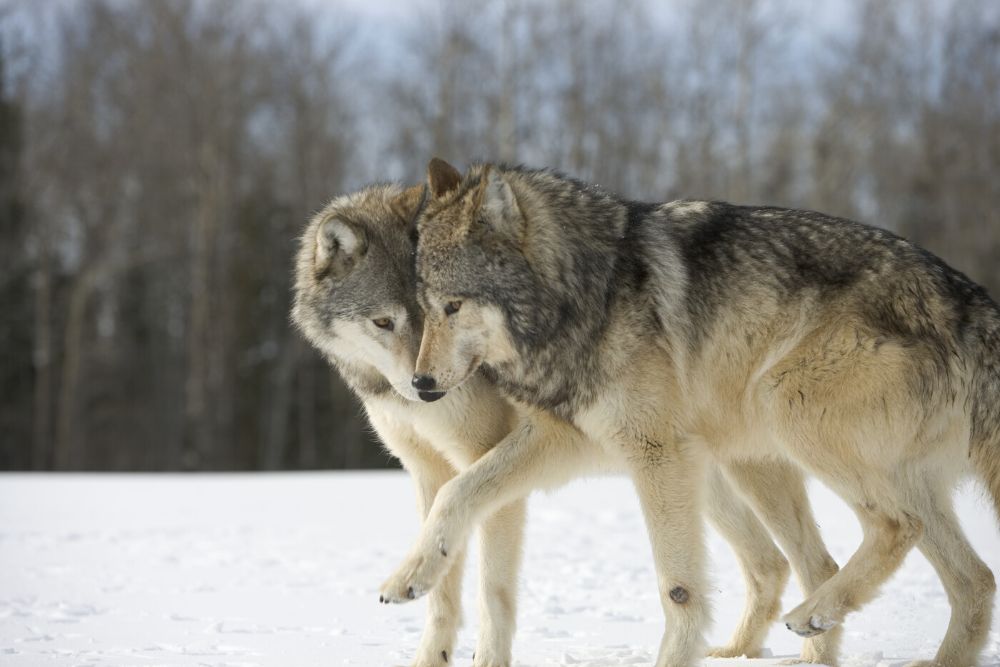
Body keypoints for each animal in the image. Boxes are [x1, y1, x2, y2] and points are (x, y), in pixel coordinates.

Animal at [292, 183, 841, 665]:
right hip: (700, 478)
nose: (425, 387)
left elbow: (490, 586)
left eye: (445, 313)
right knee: (771, 563)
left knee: (796, 562)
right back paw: (741, 652)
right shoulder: (429, 471)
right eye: (384, 322)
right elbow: (441, 588)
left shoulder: (498, 459)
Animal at [381, 158, 1000, 667]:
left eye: (454, 306)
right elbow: (456, 490)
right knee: (967, 578)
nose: (421, 385)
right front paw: (410, 575)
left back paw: (814, 614)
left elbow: (678, 587)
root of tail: (968, 298)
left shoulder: (657, 453)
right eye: (424, 308)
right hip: (765, 461)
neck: (588, 295)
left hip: (783, 407)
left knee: (895, 528)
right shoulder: (567, 439)